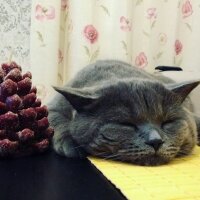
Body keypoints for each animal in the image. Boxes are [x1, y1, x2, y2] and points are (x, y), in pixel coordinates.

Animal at [47, 59, 200, 166]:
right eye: (126, 124)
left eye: (168, 122)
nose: (156, 141)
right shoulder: (53, 106)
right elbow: (55, 119)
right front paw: (69, 145)